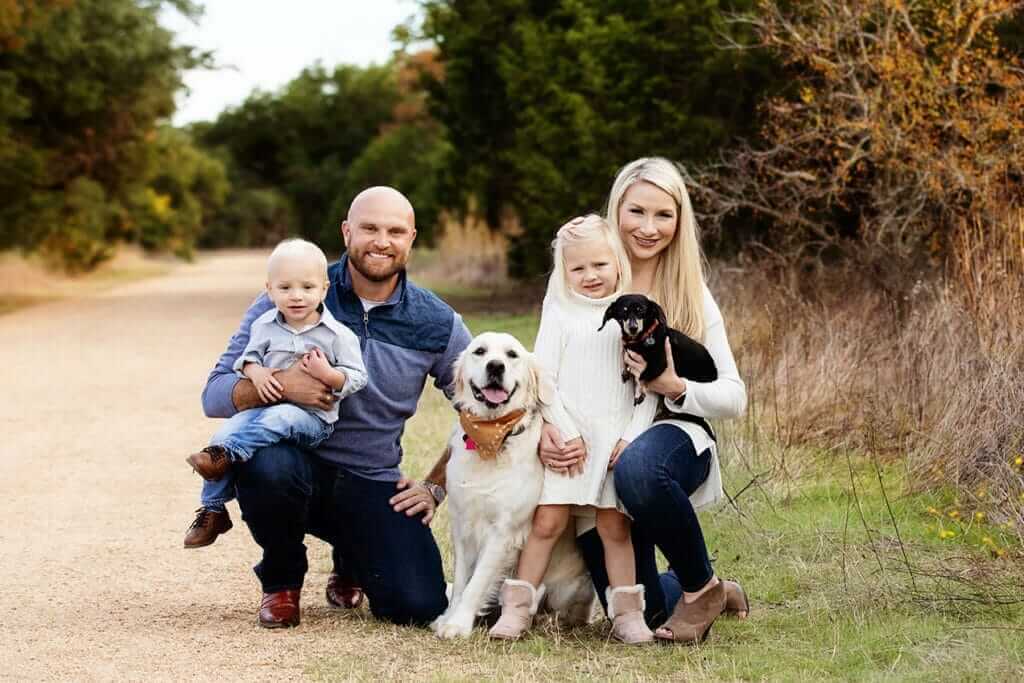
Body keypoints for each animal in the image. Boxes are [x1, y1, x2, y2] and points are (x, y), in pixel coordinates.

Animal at [430, 331, 593, 643]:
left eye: (512, 355)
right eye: (480, 351)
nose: (496, 367)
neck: (492, 439)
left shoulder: (502, 532)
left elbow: (476, 582)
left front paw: (459, 624)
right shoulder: (462, 524)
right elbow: (461, 582)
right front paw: (448, 617)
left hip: (570, 587)